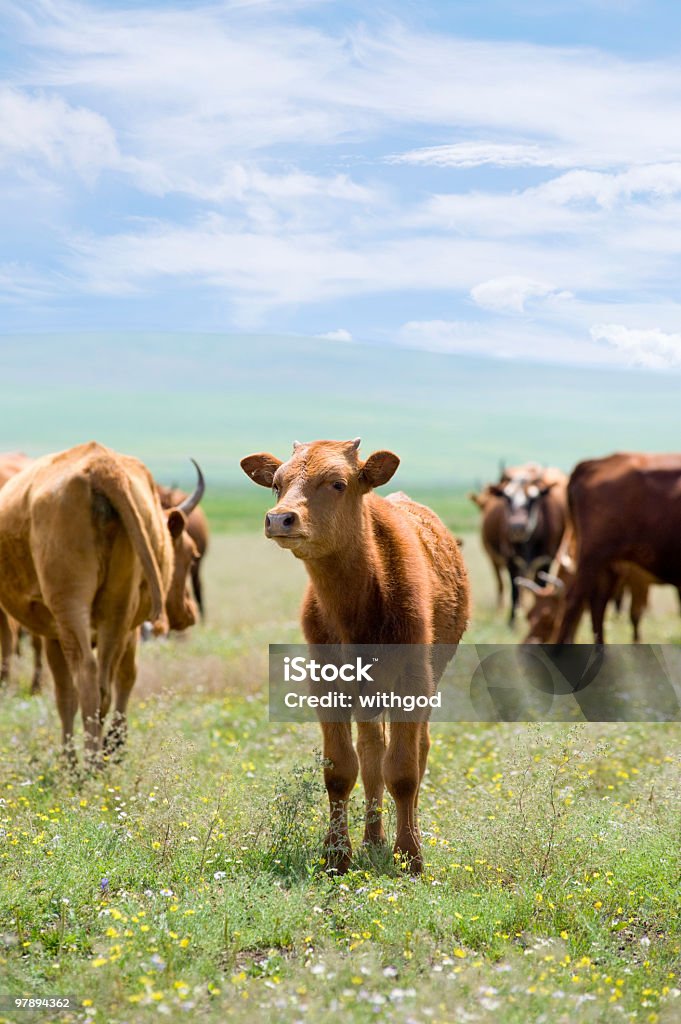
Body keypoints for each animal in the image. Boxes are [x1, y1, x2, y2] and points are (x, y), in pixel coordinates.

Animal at [241, 438, 471, 872]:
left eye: (337, 483)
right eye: (277, 484)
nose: (280, 519)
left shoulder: (413, 681)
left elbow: (404, 770)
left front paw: (410, 856)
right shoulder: (326, 682)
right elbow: (342, 769)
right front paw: (336, 854)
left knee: (417, 751)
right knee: (371, 753)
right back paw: (373, 838)